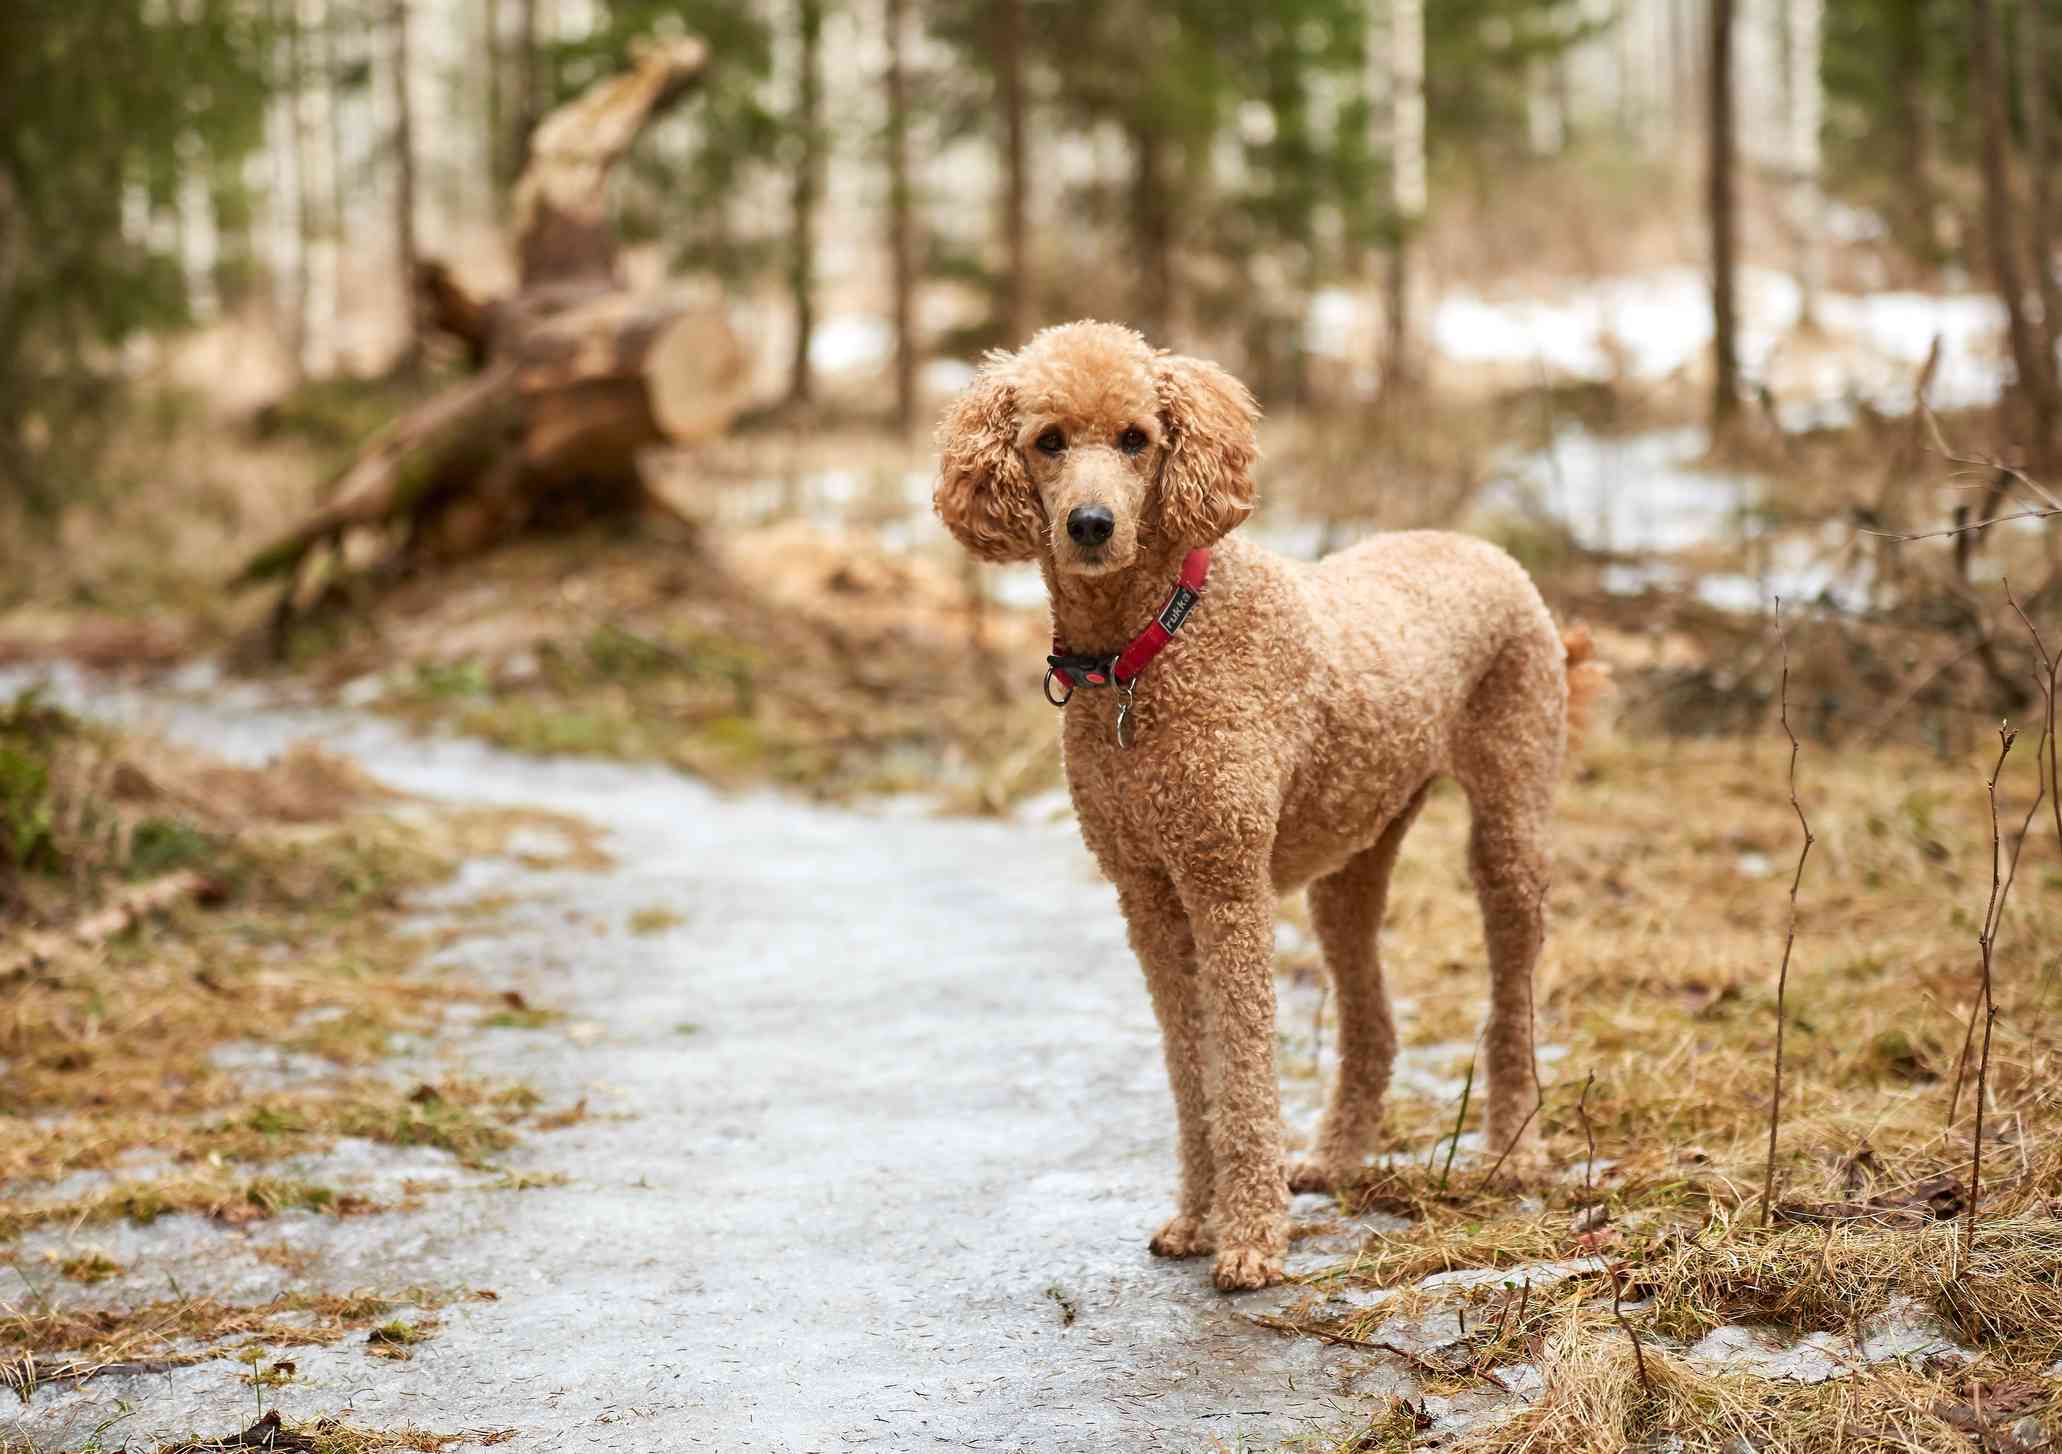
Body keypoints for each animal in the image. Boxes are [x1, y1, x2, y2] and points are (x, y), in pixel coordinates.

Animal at [936, 323, 1591, 1286]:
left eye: (1137, 438)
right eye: (1048, 441)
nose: (1090, 525)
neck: (1150, 646)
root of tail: (1488, 550)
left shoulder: (1225, 883)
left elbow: (1241, 1065)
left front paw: (1249, 1240)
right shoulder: (1147, 894)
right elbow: (1190, 1064)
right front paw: (1194, 1218)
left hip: (1509, 824)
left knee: (1513, 1004)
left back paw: (1514, 1150)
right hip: (1352, 857)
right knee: (1372, 1023)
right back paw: (1336, 1158)